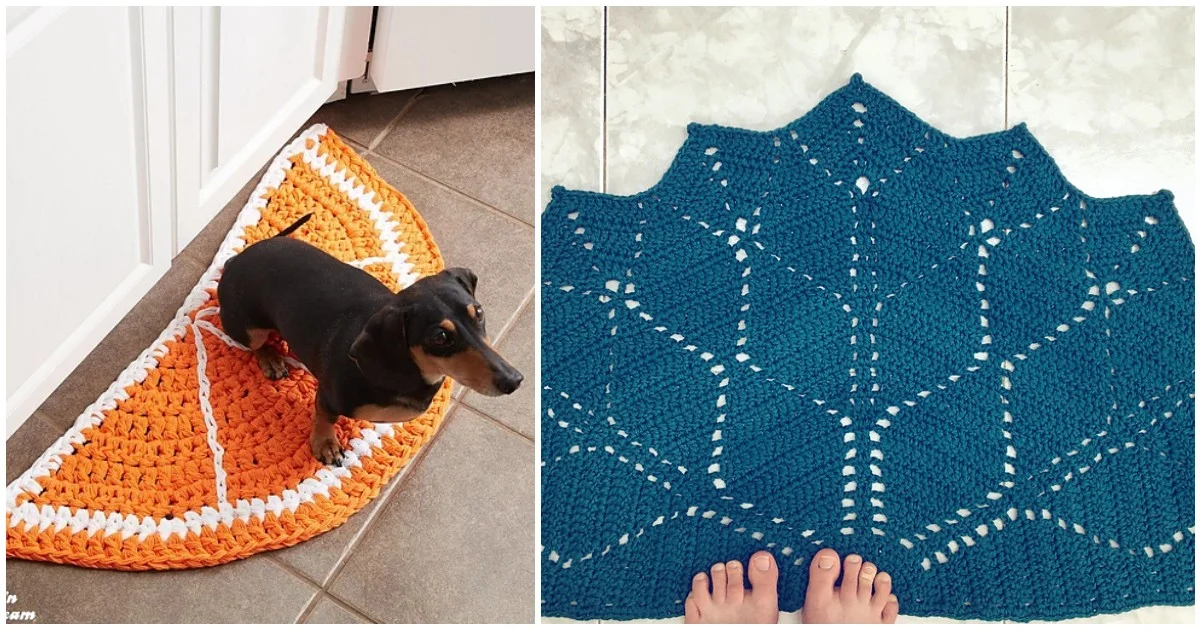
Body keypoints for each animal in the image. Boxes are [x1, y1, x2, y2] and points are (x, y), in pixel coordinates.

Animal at [216, 213, 521, 463]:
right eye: (440, 337)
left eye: (478, 312)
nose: (514, 380)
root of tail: (234, 261)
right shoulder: (328, 396)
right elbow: (324, 417)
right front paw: (325, 445)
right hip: (248, 329)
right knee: (256, 344)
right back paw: (271, 359)